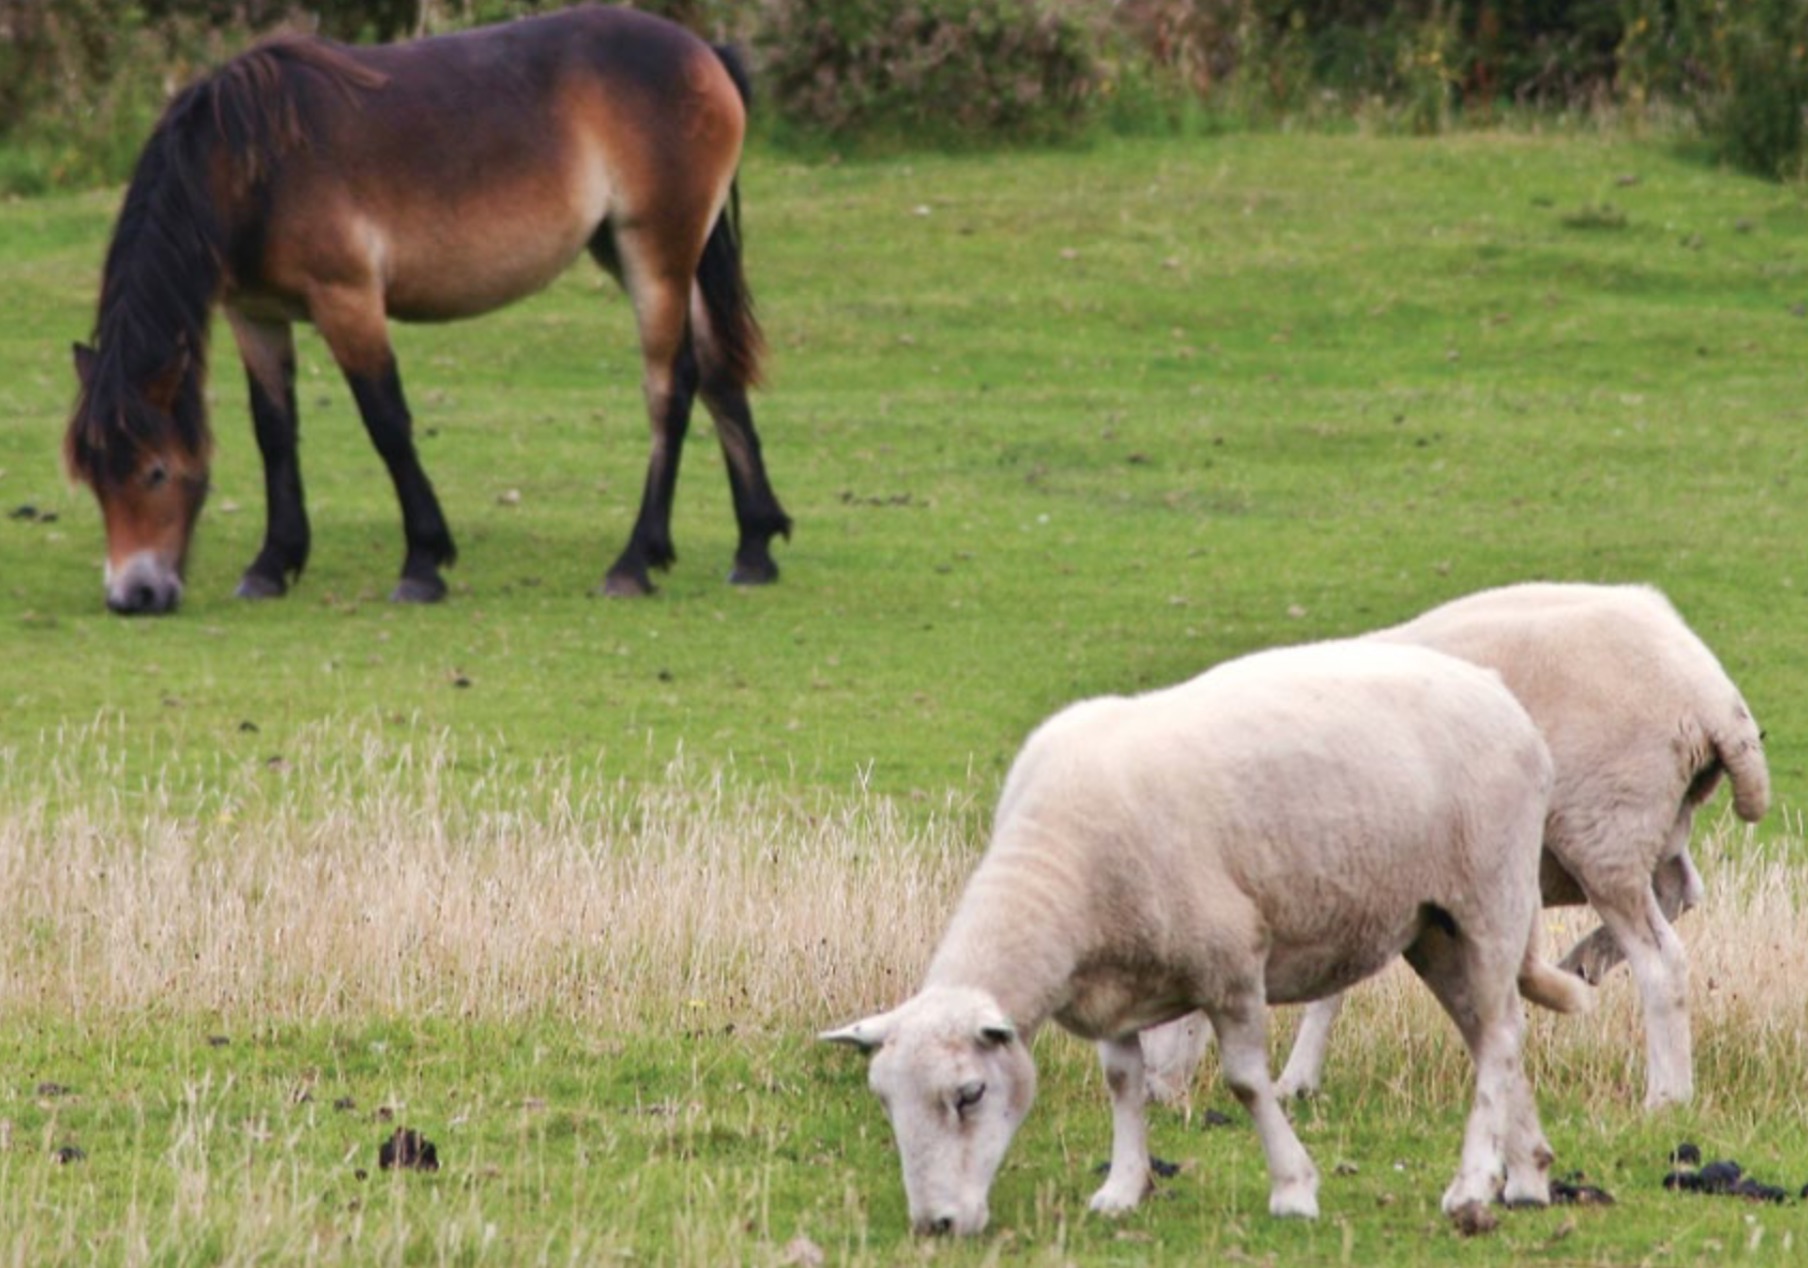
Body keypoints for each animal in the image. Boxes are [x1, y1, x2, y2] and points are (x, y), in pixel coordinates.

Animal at [65, 4, 791, 615]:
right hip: (645, 253)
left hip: (655, 254)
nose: (133, 594)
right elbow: (275, 431)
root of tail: (703, 52)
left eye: (155, 471)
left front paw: (422, 562)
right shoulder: (257, 315)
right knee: (720, 375)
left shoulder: (348, 299)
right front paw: (272, 564)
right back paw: (754, 548)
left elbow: (386, 422)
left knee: (671, 388)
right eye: (92, 477)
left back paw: (634, 563)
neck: (252, 163)